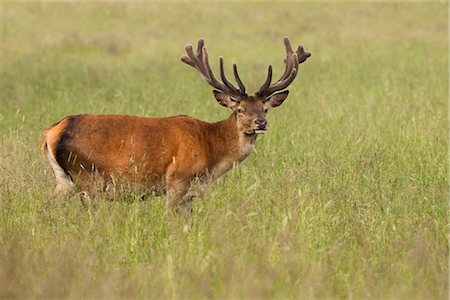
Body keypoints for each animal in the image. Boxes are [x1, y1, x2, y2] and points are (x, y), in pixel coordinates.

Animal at [39, 37, 310, 211]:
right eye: (240, 109)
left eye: (265, 108)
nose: (260, 123)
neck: (212, 153)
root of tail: (51, 132)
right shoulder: (177, 179)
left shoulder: (192, 192)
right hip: (88, 176)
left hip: (64, 180)